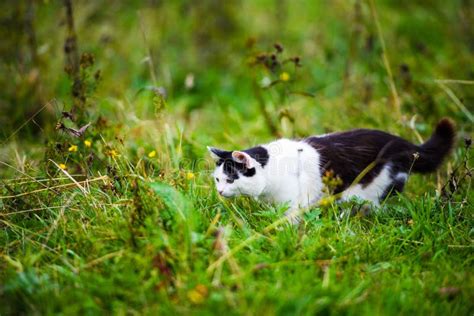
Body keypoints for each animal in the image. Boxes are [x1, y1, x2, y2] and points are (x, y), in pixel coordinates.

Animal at [207, 118, 456, 222]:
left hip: (367, 192)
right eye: (218, 180)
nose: (219, 192)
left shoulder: (296, 204)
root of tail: (403, 143)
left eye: (230, 180)